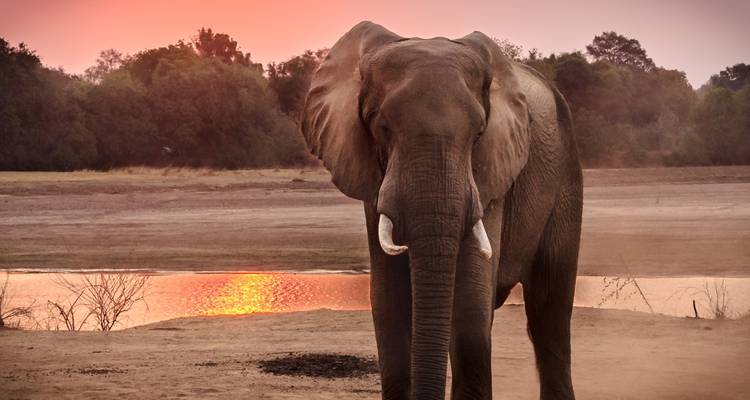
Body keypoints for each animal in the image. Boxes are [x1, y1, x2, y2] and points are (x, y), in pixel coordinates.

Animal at [300, 21, 583, 400]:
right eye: (381, 128)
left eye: (478, 133)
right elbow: (389, 304)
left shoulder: (492, 172)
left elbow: (469, 307)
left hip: (566, 173)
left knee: (550, 311)